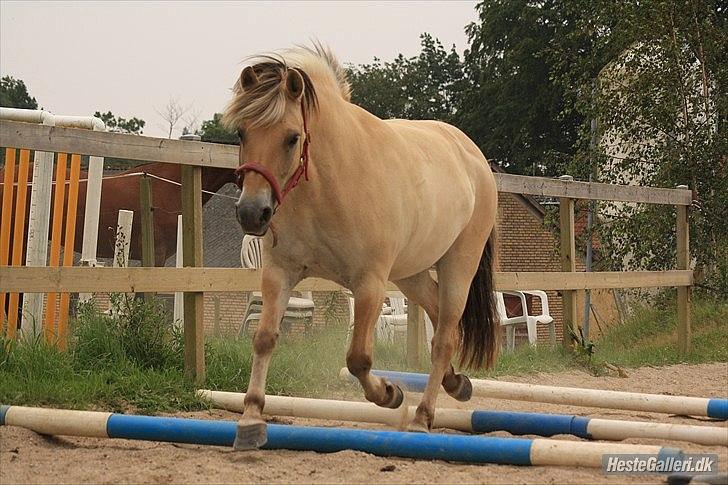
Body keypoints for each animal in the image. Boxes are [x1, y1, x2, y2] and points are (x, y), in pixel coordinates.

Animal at [225, 45, 500, 446]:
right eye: (242, 132)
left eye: (292, 137)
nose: (251, 212)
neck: (328, 184)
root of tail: (474, 155)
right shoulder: (280, 273)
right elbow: (263, 339)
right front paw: (250, 417)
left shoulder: (369, 283)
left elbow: (358, 359)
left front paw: (391, 393)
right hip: (410, 274)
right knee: (438, 319)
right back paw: (456, 383)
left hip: (458, 266)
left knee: (443, 338)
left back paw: (422, 416)